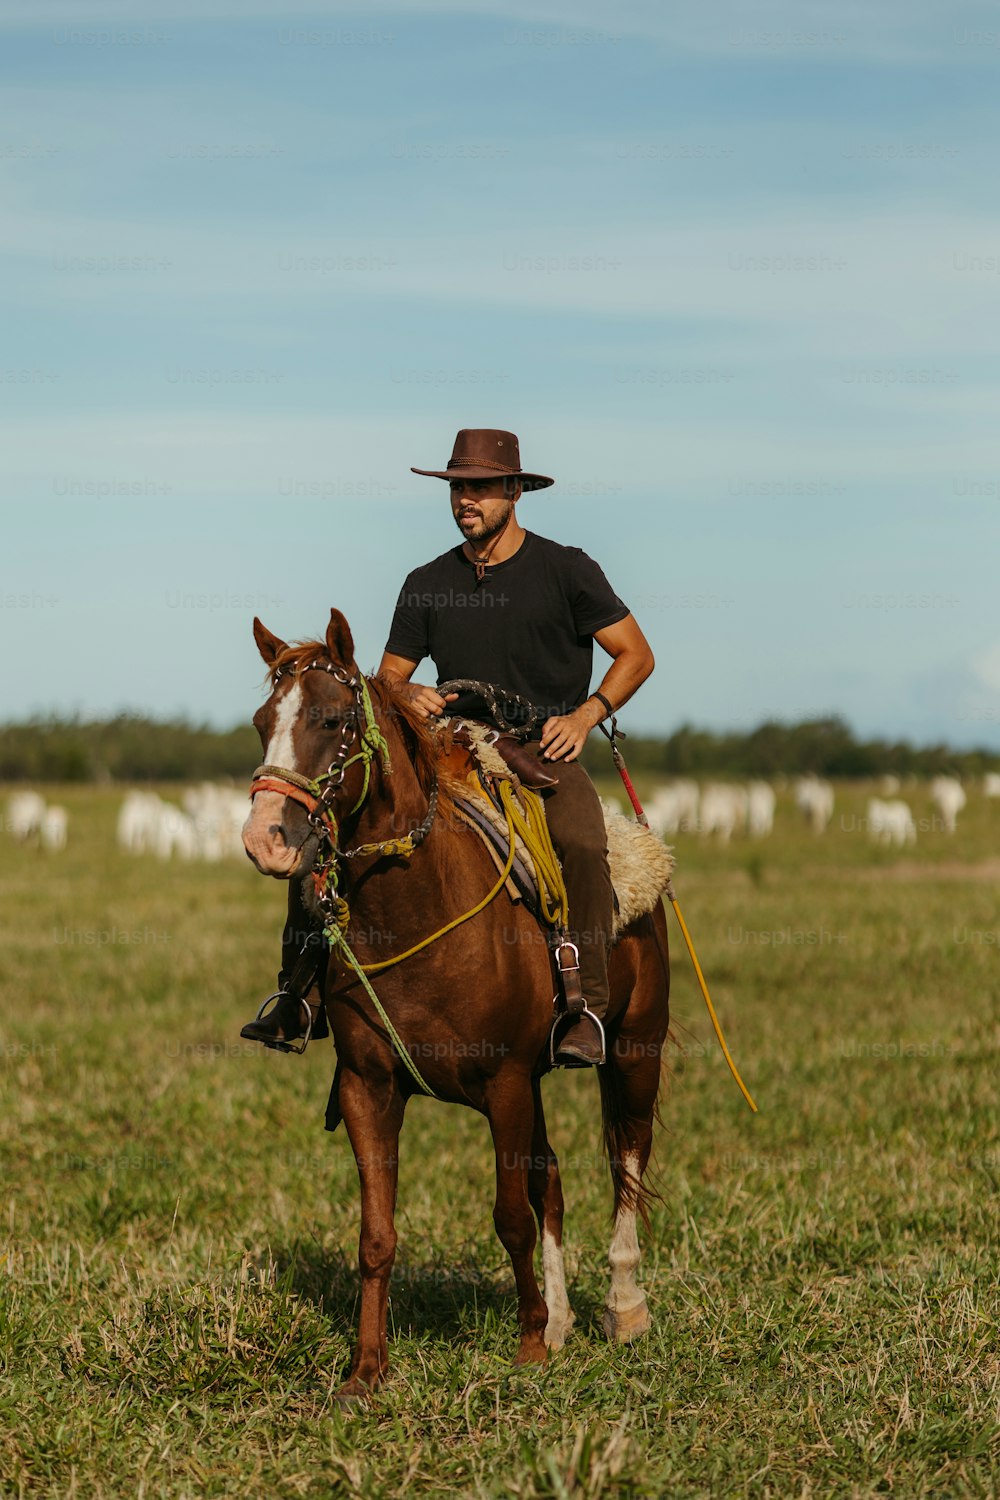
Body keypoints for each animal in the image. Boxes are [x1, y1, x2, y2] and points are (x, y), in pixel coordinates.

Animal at [239, 609, 671, 1404]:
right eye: (262, 723)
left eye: (332, 719)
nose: (267, 840)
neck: (417, 906)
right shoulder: (370, 1088)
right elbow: (377, 1235)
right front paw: (366, 1370)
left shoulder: (503, 1084)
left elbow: (510, 1217)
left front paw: (528, 1347)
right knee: (552, 1180)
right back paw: (563, 1320)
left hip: (634, 1049)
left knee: (626, 1161)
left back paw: (623, 1310)